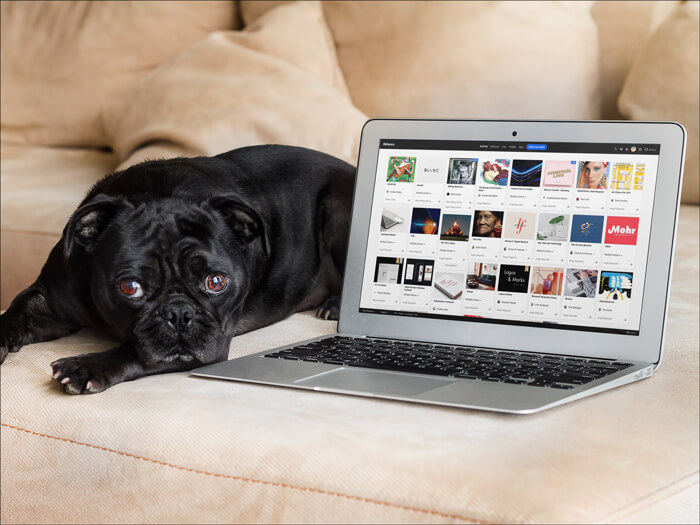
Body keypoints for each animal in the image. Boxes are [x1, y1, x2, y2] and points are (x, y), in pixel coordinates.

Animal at [0, 145, 356, 390]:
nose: (179, 313)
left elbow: (132, 352)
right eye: (130, 287)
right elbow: (15, 311)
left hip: (339, 209)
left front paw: (87, 366)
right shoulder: (48, 302)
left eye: (216, 282)